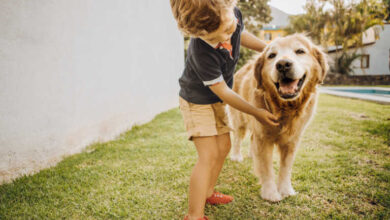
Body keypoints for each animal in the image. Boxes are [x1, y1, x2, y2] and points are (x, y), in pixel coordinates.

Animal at [229, 34, 330, 201]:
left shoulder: (292, 140)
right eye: (271, 55)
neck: (285, 108)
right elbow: (266, 168)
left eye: (300, 51)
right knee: (238, 137)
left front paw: (286, 189)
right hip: (240, 118)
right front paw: (270, 193)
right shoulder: (263, 137)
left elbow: (285, 167)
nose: (283, 65)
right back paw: (236, 156)